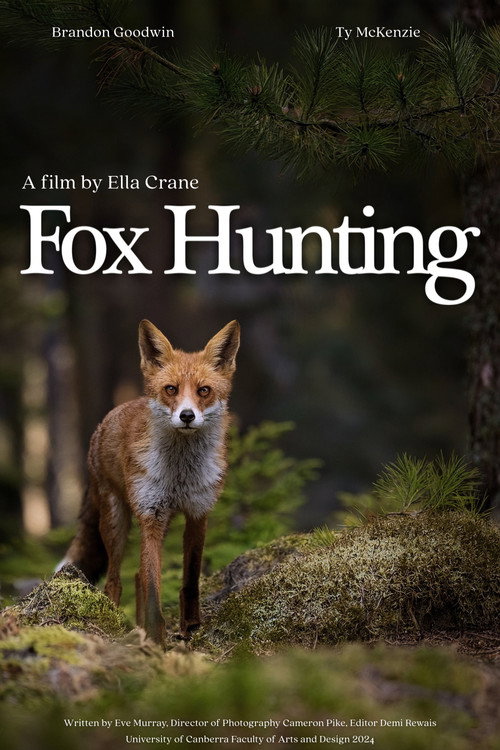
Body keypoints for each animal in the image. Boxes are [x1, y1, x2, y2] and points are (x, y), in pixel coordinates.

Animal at [59, 318, 240, 645]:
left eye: (203, 391)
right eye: (171, 389)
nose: (186, 415)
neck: (180, 473)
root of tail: (107, 419)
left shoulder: (198, 512)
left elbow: (189, 580)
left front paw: (191, 626)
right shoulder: (151, 515)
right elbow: (154, 586)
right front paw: (157, 637)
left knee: (137, 576)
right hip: (116, 522)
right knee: (115, 581)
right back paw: (118, 622)